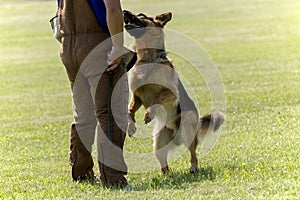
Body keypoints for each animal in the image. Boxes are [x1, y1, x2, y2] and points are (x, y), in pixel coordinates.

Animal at [123, 10, 224, 173]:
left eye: (142, 15)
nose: (124, 11)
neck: (147, 58)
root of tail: (177, 136)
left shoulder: (171, 92)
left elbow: (157, 99)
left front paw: (149, 113)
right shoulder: (136, 95)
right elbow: (129, 110)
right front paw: (130, 126)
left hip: (188, 124)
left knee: (193, 153)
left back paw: (193, 168)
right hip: (158, 142)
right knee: (163, 160)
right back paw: (164, 173)